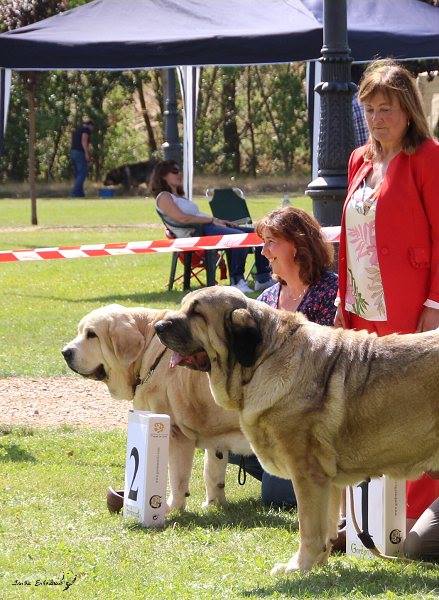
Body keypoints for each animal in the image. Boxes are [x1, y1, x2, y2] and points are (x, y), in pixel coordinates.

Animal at [63, 304, 253, 510]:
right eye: (80, 332)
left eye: (92, 335)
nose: (65, 352)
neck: (149, 353)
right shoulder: (215, 436)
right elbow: (212, 472)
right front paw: (213, 504)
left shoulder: (176, 434)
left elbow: (177, 478)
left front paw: (172, 507)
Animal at [154, 288, 439, 576]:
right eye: (183, 306)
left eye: (197, 313)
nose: (158, 326)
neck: (263, 359)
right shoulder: (328, 481)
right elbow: (327, 527)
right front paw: (318, 564)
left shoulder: (307, 474)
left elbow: (309, 528)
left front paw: (298, 566)